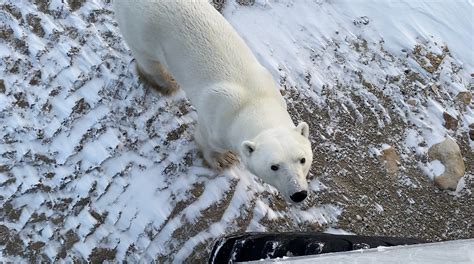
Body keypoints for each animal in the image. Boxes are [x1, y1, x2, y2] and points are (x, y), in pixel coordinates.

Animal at [114, 0, 312, 203]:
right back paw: (166, 82)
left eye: (302, 159)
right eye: (274, 166)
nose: (299, 194)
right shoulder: (216, 123)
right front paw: (223, 160)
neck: (253, 103)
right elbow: (206, 141)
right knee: (149, 61)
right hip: (141, 30)